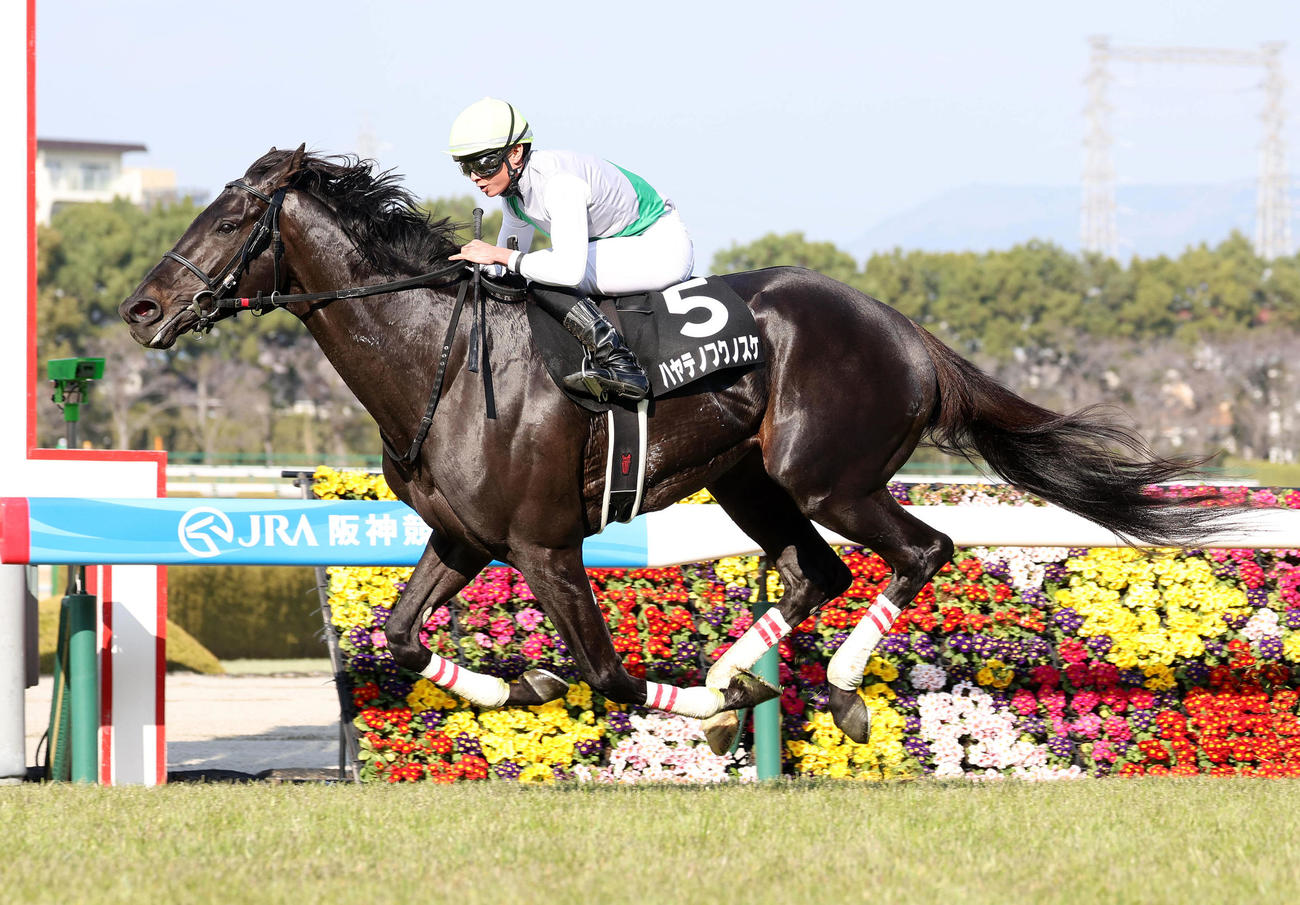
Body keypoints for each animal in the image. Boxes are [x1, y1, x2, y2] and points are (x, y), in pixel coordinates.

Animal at [120, 146, 1228, 751]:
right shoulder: (462, 536)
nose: (142, 309)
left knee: (919, 551)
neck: (439, 357)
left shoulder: (544, 544)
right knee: (815, 571)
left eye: (230, 215)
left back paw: (827, 687)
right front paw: (517, 685)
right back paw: (746, 678)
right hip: (750, 481)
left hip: (829, 476)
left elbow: (608, 673)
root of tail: (904, 328)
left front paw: (679, 698)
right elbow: (397, 633)